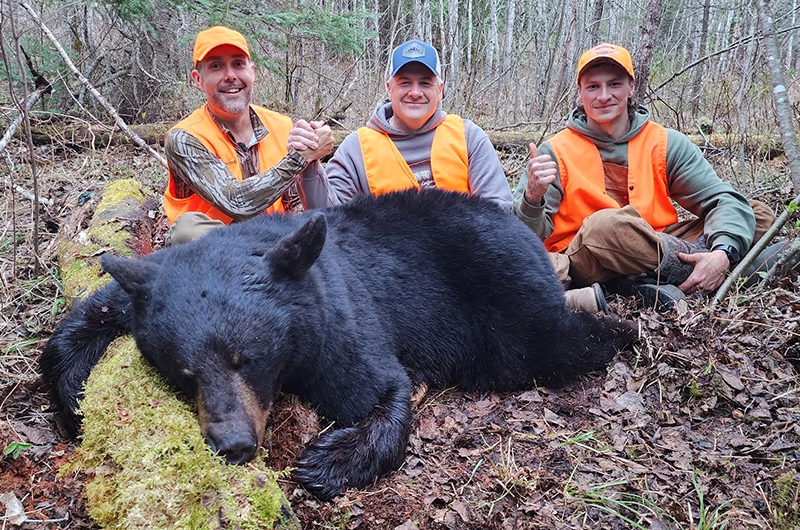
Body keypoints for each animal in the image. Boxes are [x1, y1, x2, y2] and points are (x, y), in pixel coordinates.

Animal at [41, 189, 636, 500]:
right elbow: (93, 313)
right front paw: (70, 401)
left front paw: (325, 461)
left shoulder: (335, 318)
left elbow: (379, 386)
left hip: (502, 296)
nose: (233, 443)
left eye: (246, 359)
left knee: (548, 342)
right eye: (184, 372)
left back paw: (623, 326)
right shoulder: (154, 279)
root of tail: (520, 228)